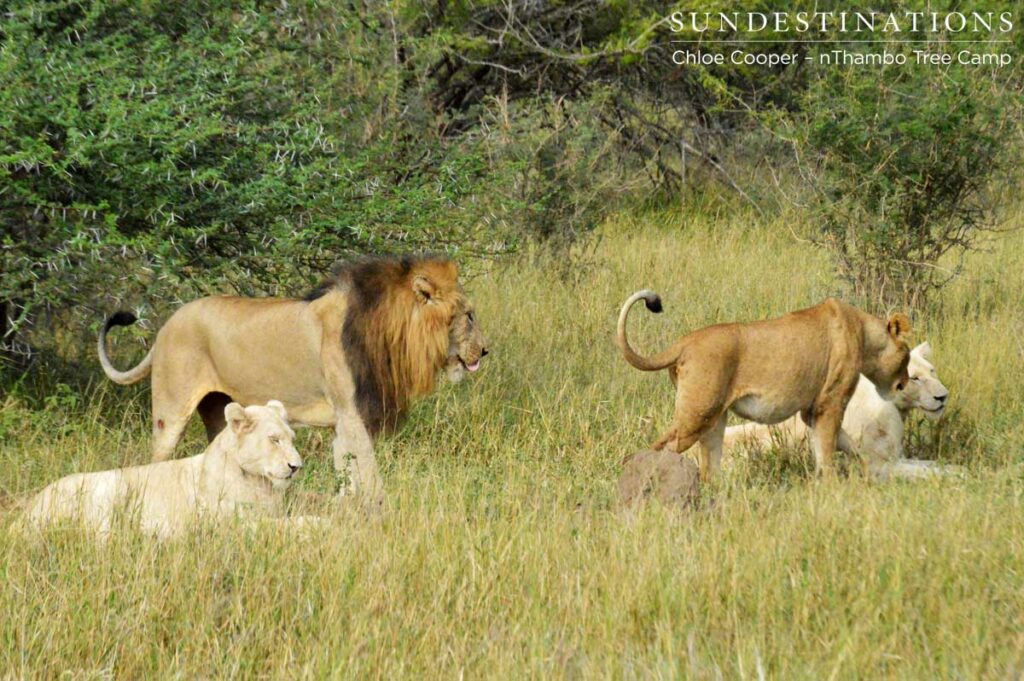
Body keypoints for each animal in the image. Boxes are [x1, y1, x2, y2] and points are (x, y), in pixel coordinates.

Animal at [24, 401, 304, 538]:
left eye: (292, 439)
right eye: (274, 439)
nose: (296, 467)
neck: (260, 483)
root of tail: (28, 509)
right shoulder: (233, 522)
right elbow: (292, 524)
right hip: (113, 484)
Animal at [98, 256, 488, 503]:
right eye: (469, 315)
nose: (485, 351)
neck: (392, 333)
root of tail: (166, 325)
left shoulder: (342, 421)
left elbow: (347, 473)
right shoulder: (352, 414)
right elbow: (370, 474)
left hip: (219, 409)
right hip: (170, 411)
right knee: (158, 455)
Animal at [616, 291, 911, 482]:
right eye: (907, 355)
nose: (905, 383)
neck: (865, 334)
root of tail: (685, 341)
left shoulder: (811, 411)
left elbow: (843, 445)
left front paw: (867, 471)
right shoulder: (831, 402)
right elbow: (827, 451)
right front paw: (832, 486)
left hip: (714, 419)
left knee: (709, 468)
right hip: (697, 415)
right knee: (660, 448)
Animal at [723, 342, 956, 480]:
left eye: (932, 371)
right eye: (915, 378)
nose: (943, 396)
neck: (897, 409)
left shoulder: (895, 457)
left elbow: (934, 464)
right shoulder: (877, 467)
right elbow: (929, 472)